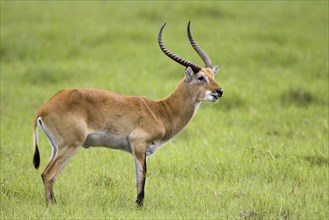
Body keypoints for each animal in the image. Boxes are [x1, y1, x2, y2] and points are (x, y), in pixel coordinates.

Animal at [32, 21, 223, 205]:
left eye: (212, 75)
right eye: (201, 77)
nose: (219, 91)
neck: (161, 111)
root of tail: (45, 107)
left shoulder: (137, 149)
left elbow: (138, 177)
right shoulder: (138, 145)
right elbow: (142, 177)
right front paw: (139, 205)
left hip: (56, 147)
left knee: (46, 174)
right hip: (71, 145)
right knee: (48, 175)